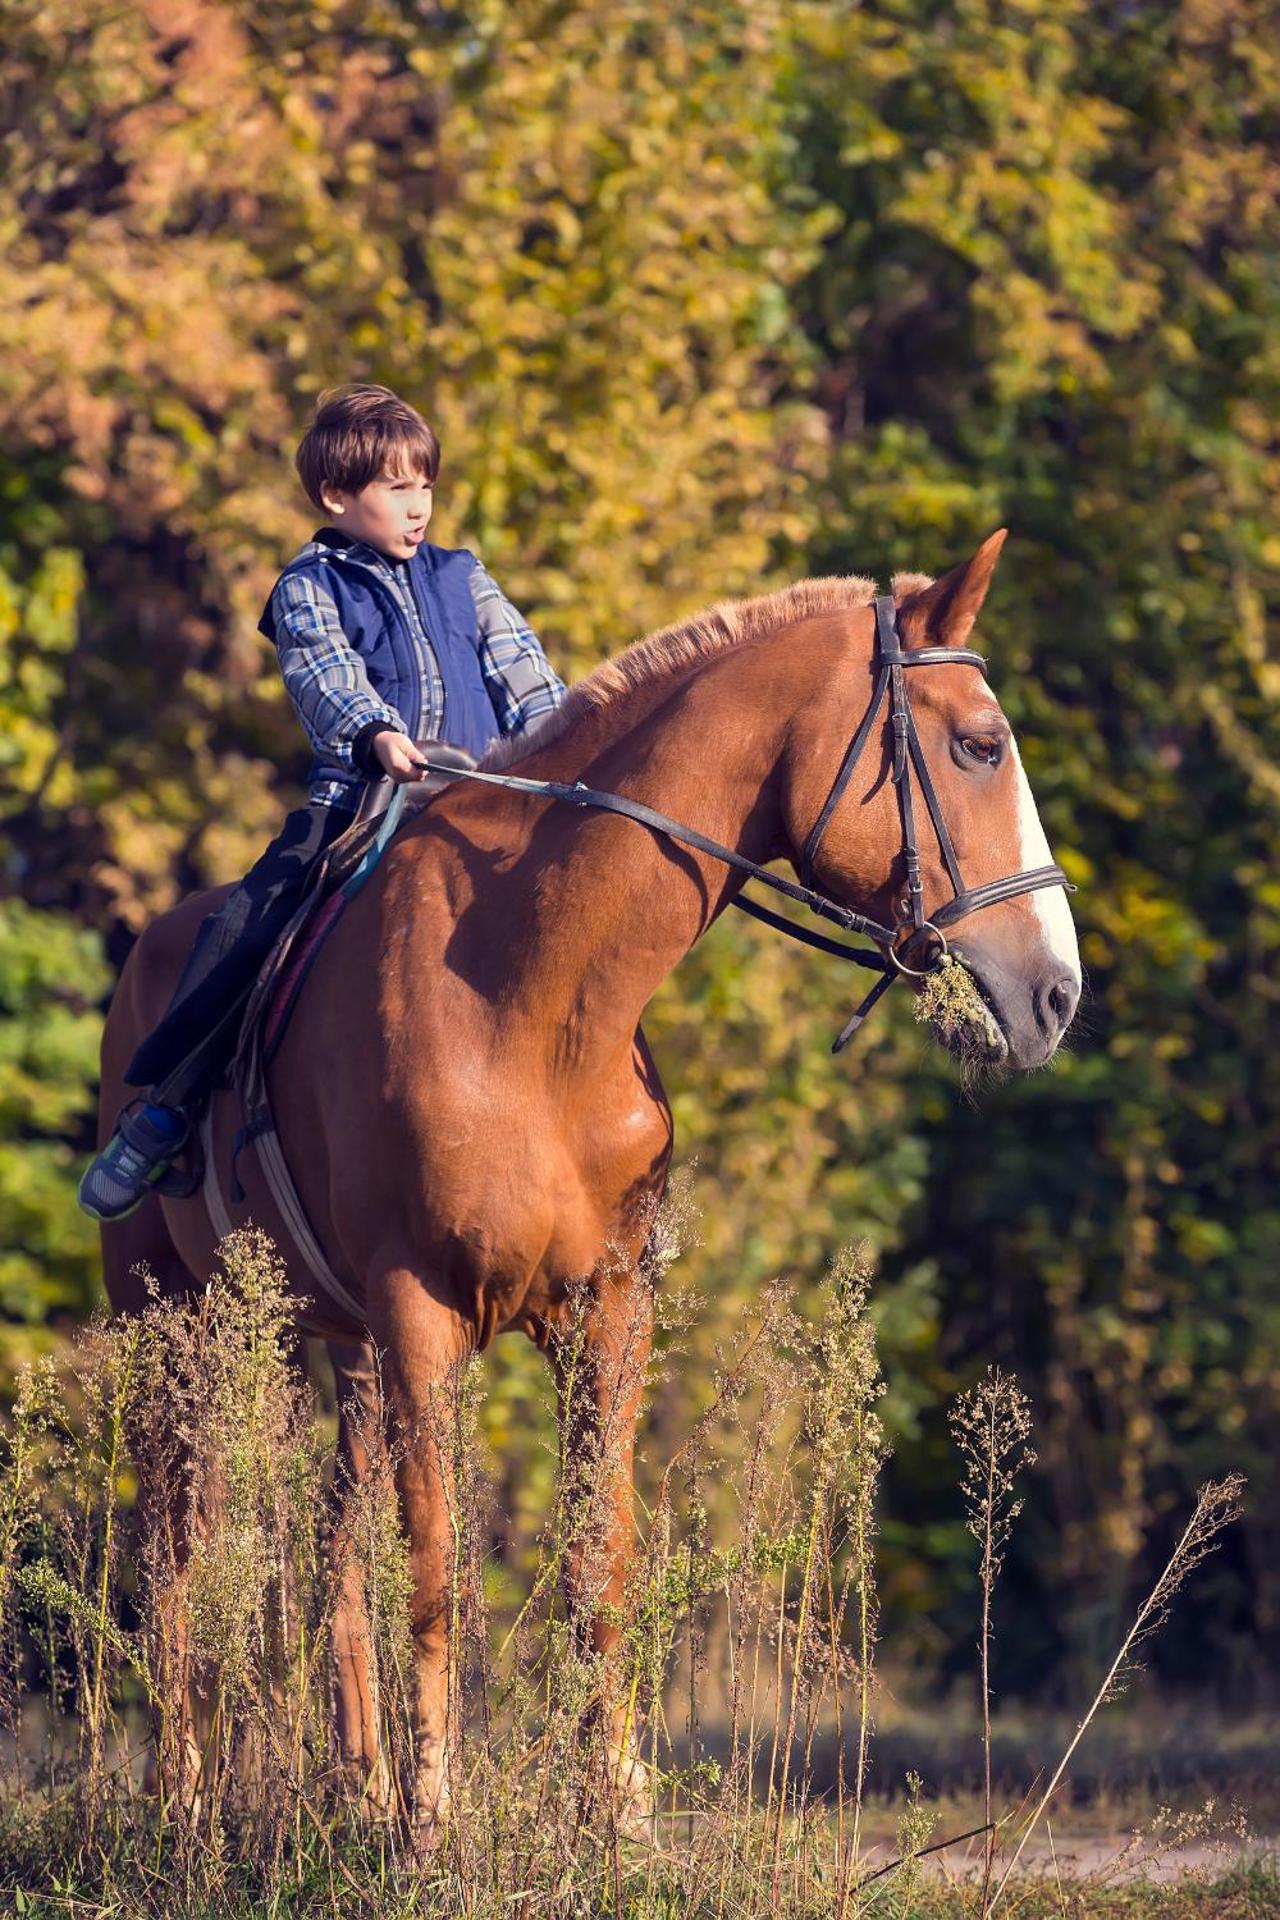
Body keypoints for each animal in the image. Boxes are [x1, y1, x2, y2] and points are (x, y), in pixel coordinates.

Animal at [96, 530, 1081, 1835]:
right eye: (977, 744)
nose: (1056, 995)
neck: (533, 997)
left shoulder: (603, 1313)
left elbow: (591, 1558)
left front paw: (608, 1803)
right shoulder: (420, 1312)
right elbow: (435, 1569)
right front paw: (433, 1817)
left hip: (335, 1350)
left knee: (329, 1555)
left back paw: (355, 1784)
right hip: (173, 1326)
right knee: (176, 1545)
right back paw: (186, 1794)